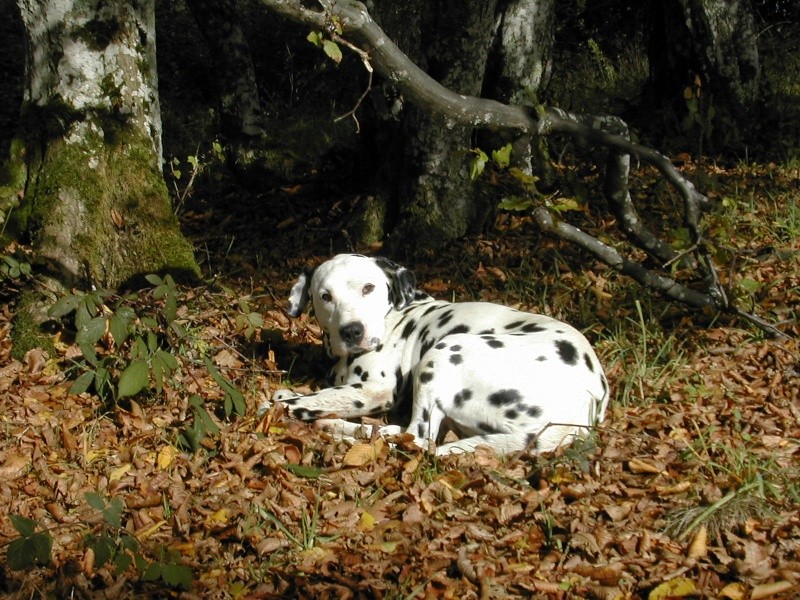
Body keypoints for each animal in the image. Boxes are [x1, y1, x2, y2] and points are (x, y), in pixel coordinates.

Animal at [266, 253, 608, 454]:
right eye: (325, 296)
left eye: (368, 288)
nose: (352, 331)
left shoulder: (374, 390)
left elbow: (299, 402)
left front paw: (279, 407)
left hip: (443, 353)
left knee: (416, 439)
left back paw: (340, 430)